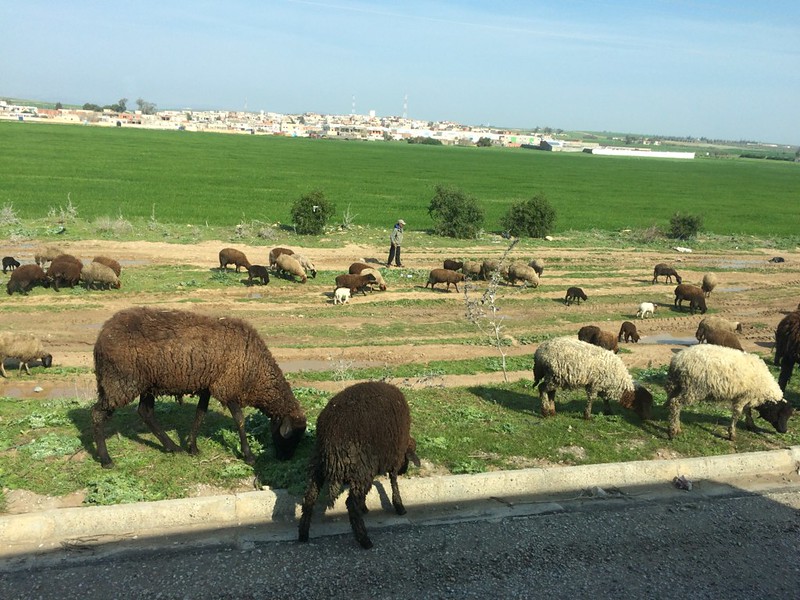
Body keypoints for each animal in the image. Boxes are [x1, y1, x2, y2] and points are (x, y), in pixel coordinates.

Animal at [91, 307, 307, 468]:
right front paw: (248, 455)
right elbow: (239, 420)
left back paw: (173, 447)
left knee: (146, 412)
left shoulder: (207, 386)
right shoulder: (226, 386)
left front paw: (192, 447)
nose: (285, 459)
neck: (255, 372)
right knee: (97, 414)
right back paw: (106, 459)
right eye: (291, 437)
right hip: (120, 382)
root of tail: (102, 335)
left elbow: (200, 414)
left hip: (147, 384)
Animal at [298, 381, 420, 549]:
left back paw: (303, 534)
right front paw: (399, 506)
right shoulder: (393, 457)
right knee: (351, 504)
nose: (404, 471)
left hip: (319, 464)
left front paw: (365, 507)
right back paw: (364, 540)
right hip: (361, 468)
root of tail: (331, 433)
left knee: (310, 497)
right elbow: (393, 481)